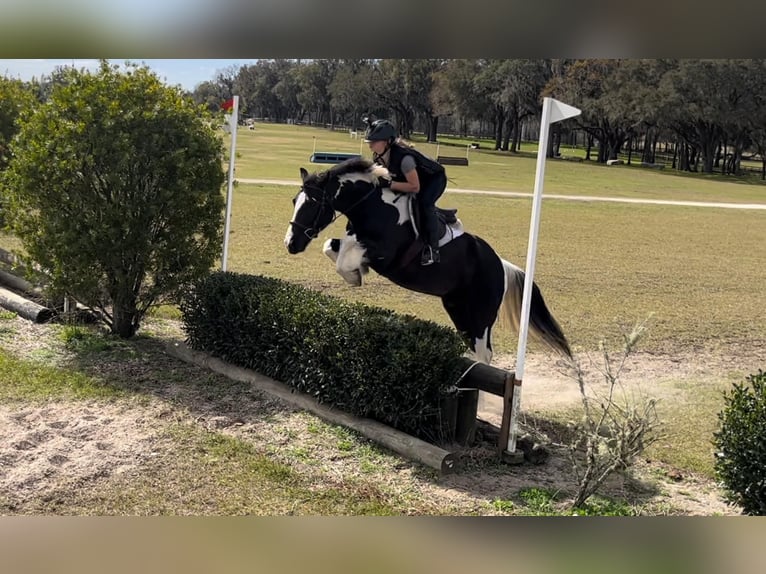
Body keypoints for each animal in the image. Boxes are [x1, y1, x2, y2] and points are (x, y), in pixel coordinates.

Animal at [284, 158, 572, 364]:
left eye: (312, 204)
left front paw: (354, 273)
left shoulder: (385, 254)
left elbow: (345, 257)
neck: (374, 207)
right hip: (457, 308)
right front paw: (356, 274)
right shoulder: (355, 240)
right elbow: (332, 248)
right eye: (294, 200)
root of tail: (501, 266)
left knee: (484, 354)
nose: (291, 244)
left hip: (481, 316)